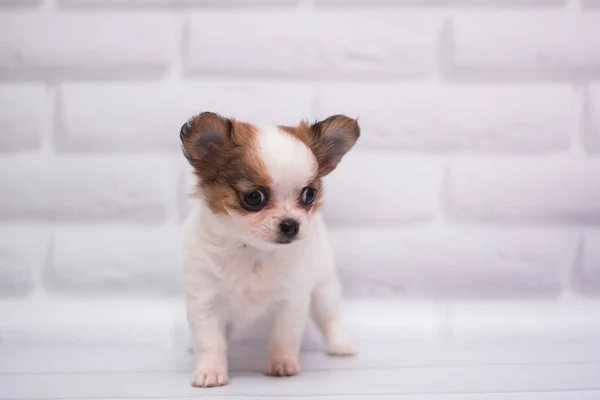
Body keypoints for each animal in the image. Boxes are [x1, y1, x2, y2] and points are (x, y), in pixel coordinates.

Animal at [177, 112, 356, 388]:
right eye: (254, 197)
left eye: (309, 195)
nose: (291, 224)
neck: (252, 250)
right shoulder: (205, 300)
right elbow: (209, 341)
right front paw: (210, 372)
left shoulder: (291, 300)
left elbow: (285, 336)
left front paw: (282, 364)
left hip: (324, 287)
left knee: (330, 318)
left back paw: (340, 345)